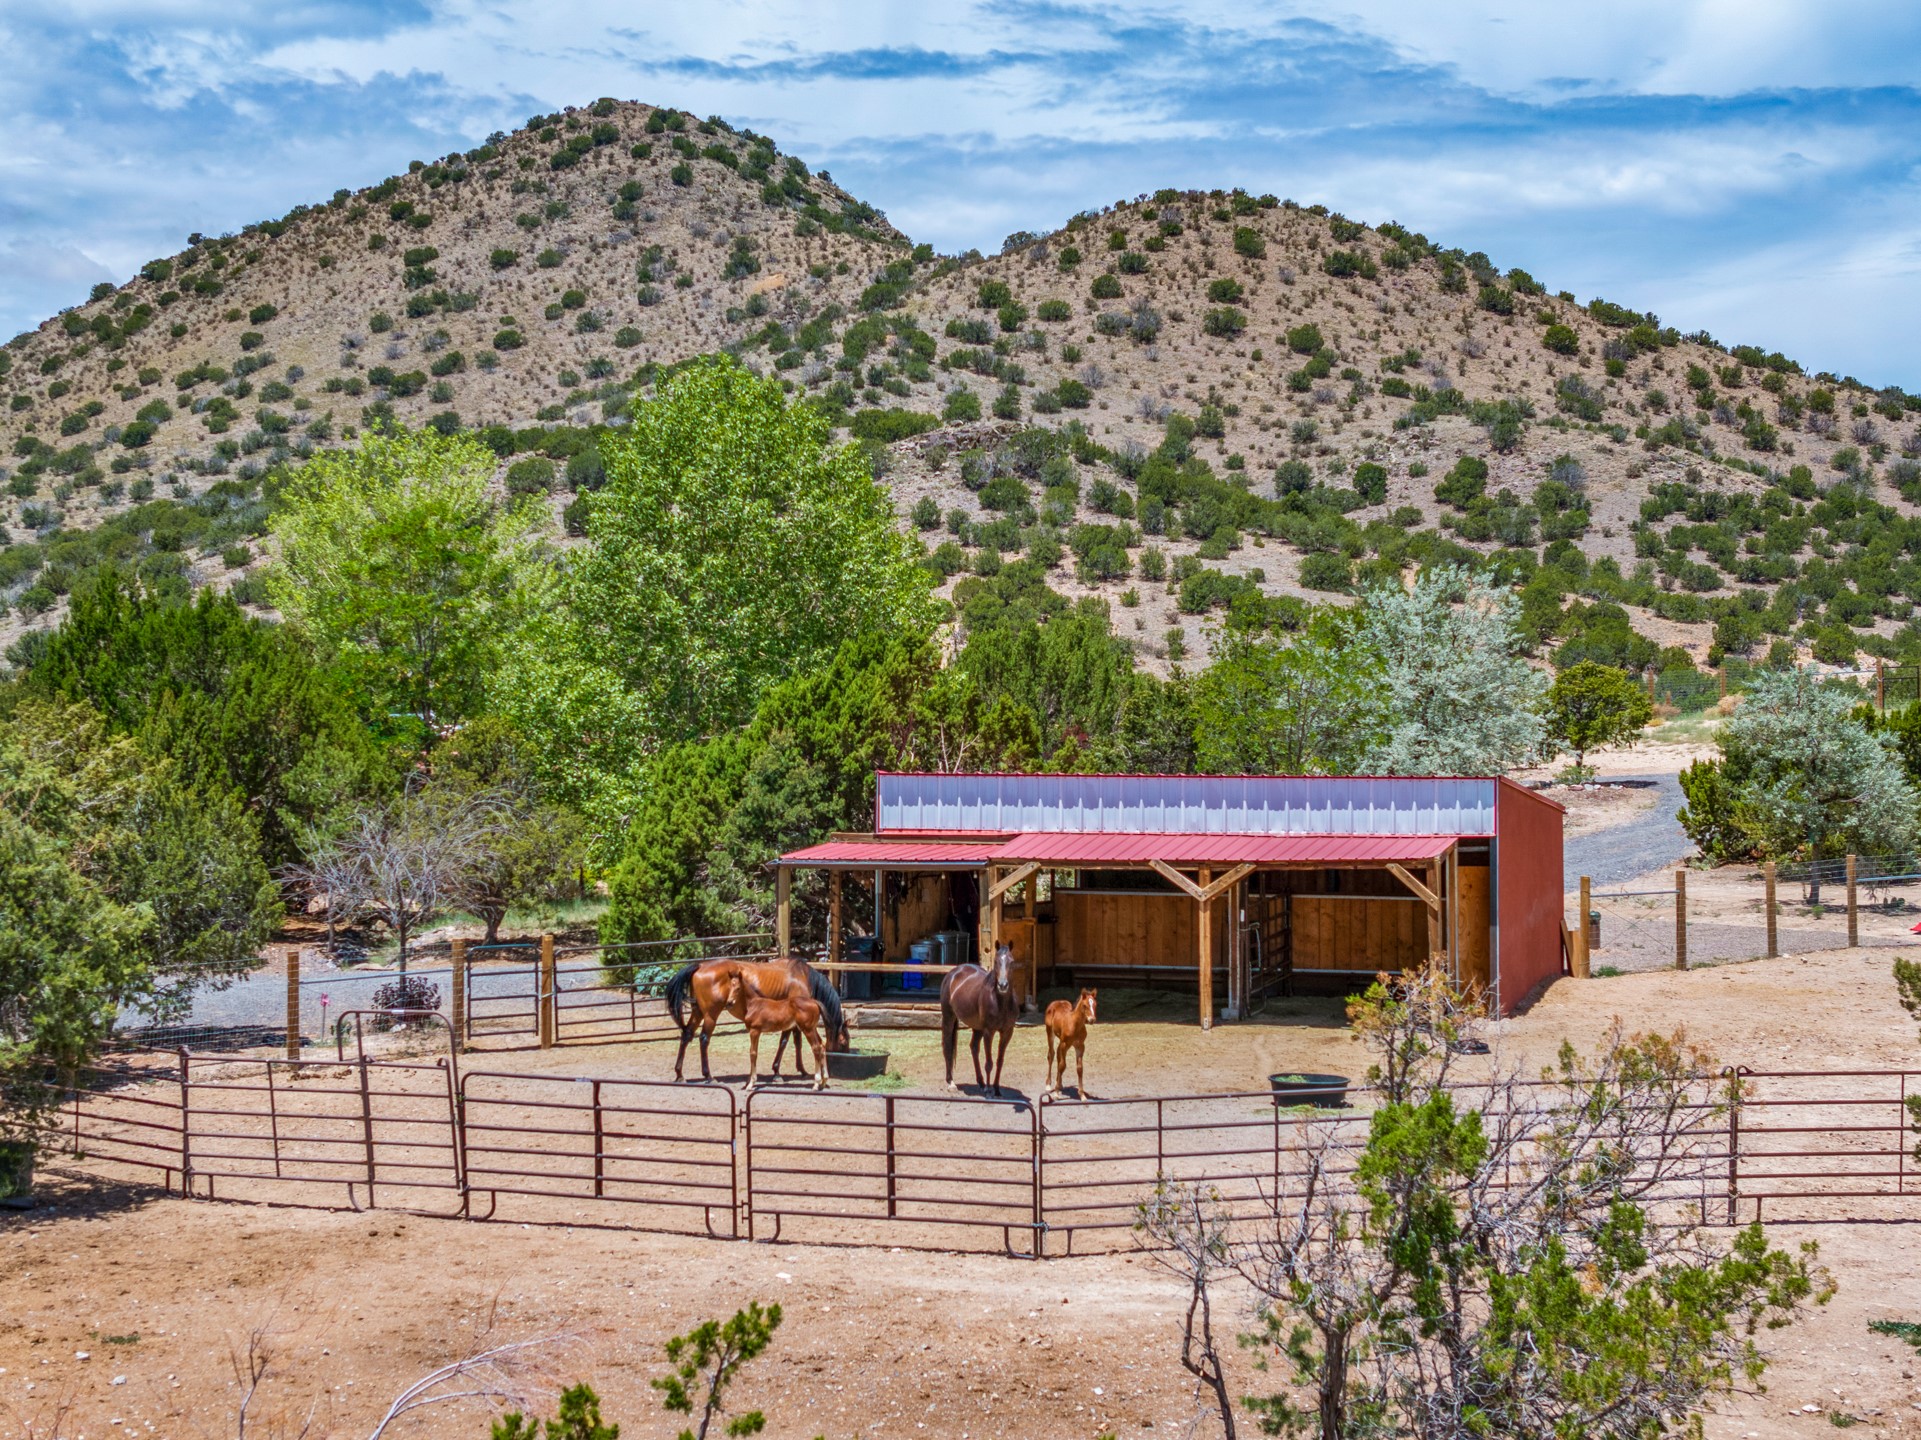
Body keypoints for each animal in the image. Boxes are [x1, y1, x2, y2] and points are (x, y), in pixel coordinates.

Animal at [664, 960, 845, 1082]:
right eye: (844, 1042)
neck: (802, 976)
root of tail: (700, 966)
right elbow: (785, 1042)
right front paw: (778, 1072)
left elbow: (796, 1041)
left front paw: (800, 1069)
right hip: (710, 1015)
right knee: (703, 1039)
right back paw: (708, 1076)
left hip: (698, 1012)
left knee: (687, 1035)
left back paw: (680, 1074)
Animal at [941, 940, 1021, 1098]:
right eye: (996, 961)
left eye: (1012, 961)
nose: (1003, 985)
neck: (1000, 1002)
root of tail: (953, 973)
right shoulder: (989, 1032)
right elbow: (989, 1063)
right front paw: (989, 1091)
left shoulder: (1007, 1032)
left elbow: (1000, 1061)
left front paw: (996, 1089)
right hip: (948, 1017)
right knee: (947, 1047)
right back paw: (951, 1083)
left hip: (977, 1027)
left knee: (973, 1048)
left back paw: (981, 1082)